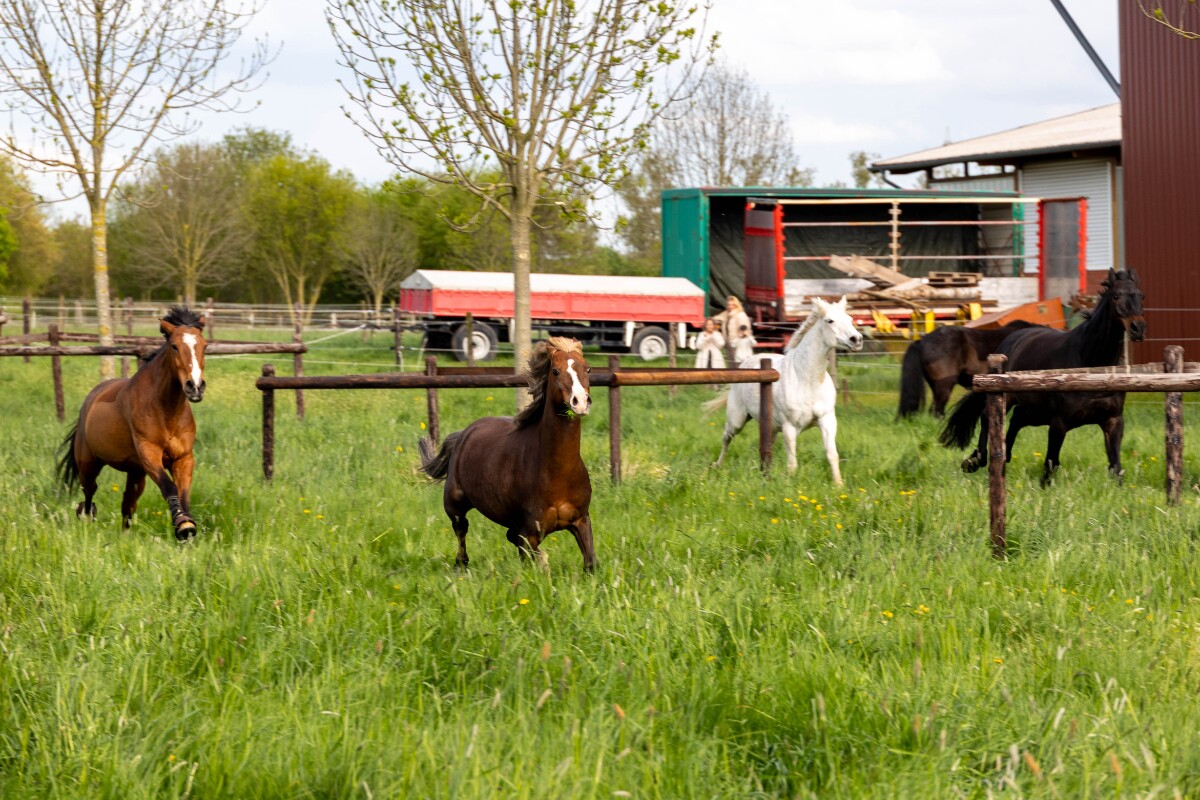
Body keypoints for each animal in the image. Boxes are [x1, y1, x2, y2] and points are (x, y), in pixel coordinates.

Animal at [58, 306, 208, 539]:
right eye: (174, 346)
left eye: (204, 346)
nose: (195, 387)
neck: (166, 411)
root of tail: (88, 403)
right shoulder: (149, 453)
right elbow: (169, 487)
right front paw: (183, 525)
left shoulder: (183, 458)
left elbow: (183, 493)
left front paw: (186, 527)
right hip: (89, 464)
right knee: (90, 492)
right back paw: (87, 519)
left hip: (135, 473)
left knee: (128, 503)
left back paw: (125, 536)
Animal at [419, 337, 596, 571]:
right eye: (556, 371)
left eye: (588, 368)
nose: (580, 401)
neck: (557, 472)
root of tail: (464, 433)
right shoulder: (528, 532)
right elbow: (531, 556)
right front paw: (543, 563)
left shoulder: (581, 520)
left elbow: (590, 563)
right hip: (454, 505)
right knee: (461, 530)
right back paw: (461, 566)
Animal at [708, 296, 863, 486]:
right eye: (830, 320)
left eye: (850, 319)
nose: (856, 339)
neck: (807, 380)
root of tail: (746, 362)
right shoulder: (790, 427)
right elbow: (792, 463)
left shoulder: (827, 420)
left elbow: (832, 454)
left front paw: (838, 485)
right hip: (737, 419)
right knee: (726, 437)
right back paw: (717, 465)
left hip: (770, 427)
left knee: (765, 446)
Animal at [940, 268, 1146, 485]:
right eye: (1116, 296)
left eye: (1141, 296)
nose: (1137, 328)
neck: (1090, 365)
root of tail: (1011, 340)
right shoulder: (1059, 422)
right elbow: (1051, 462)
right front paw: (1044, 486)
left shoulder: (1113, 421)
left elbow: (1116, 467)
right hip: (1012, 399)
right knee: (988, 416)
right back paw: (975, 460)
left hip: (1035, 411)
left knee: (1017, 419)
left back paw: (1004, 455)